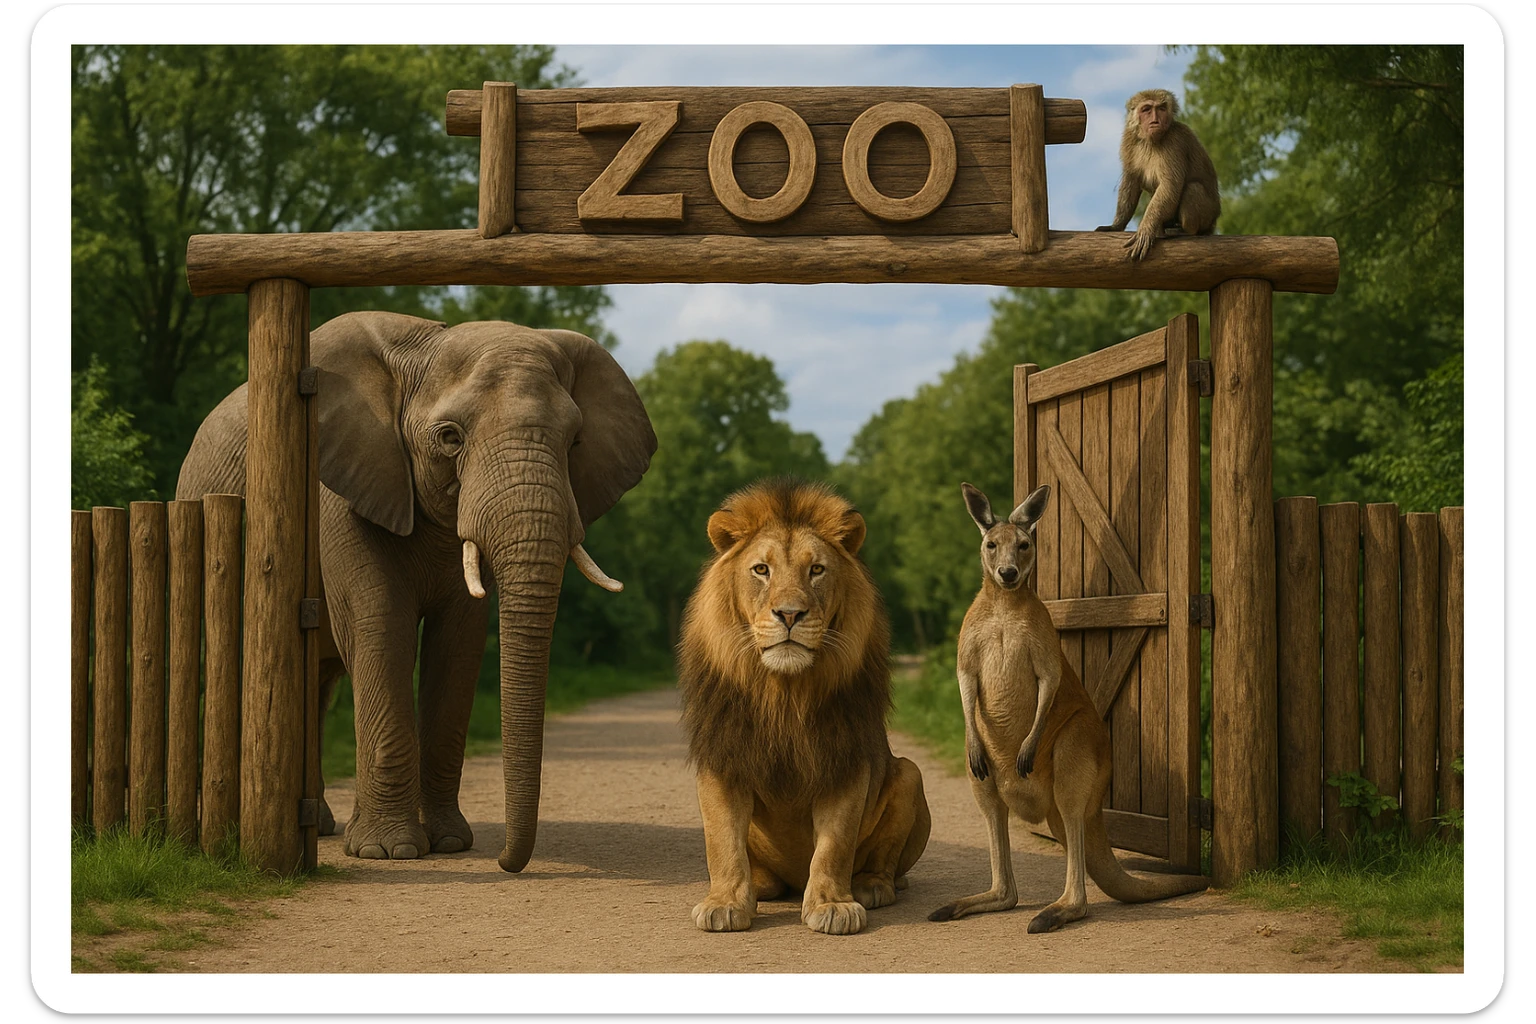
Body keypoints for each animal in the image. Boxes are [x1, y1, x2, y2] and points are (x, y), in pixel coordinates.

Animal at [176, 311, 656, 870]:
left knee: (317, 681)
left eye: (575, 441)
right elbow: (381, 625)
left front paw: (449, 843)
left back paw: (322, 825)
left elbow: (459, 641)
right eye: (449, 438)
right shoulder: (338, 493)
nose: (505, 863)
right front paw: (391, 852)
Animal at [676, 477, 931, 935]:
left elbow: (834, 845)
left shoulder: (845, 761)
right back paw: (759, 887)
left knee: (886, 866)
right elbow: (722, 841)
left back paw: (870, 886)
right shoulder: (723, 758)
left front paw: (833, 905)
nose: (790, 614)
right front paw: (724, 902)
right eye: (762, 570)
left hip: (908, 774)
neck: (785, 692)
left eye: (817, 570)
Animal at [1095, 88, 1220, 261]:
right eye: (1147, 109)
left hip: (1209, 216)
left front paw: (1146, 229)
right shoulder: (1129, 138)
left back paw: (1186, 231)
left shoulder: (1174, 140)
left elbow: (1170, 185)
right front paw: (1116, 225)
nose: (1155, 121)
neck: (1150, 141)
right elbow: (1131, 180)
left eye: (1161, 109)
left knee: (1193, 188)